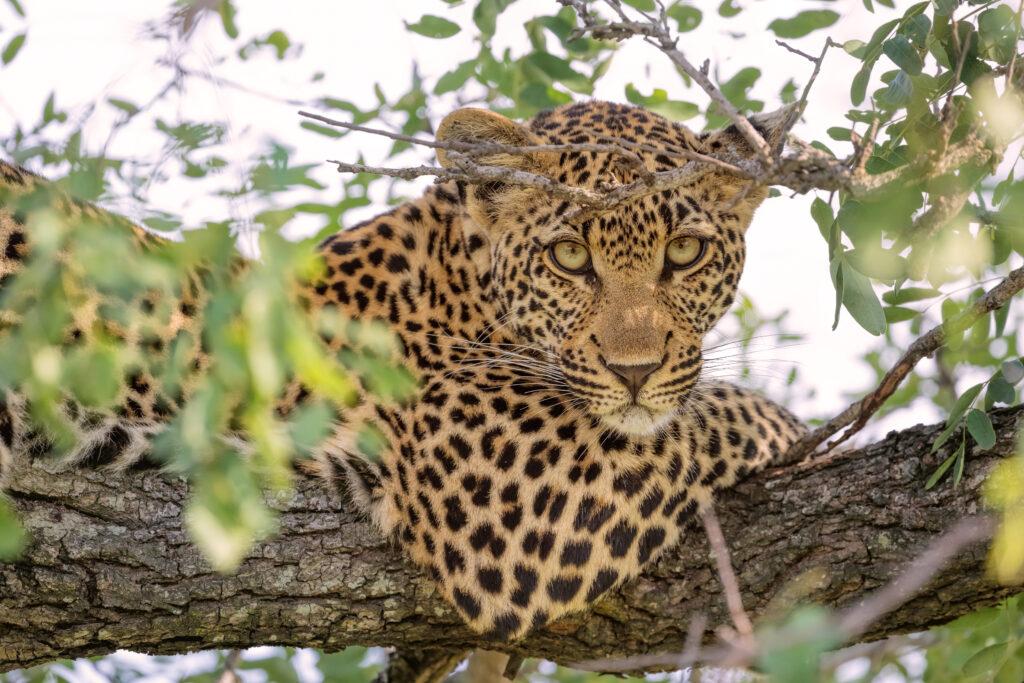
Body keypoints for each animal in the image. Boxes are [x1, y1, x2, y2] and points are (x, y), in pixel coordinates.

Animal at [0, 100, 805, 641]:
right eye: (570, 256)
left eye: (685, 252)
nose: (634, 370)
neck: (460, 278)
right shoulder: (518, 494)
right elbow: (717, 414)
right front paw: (792, 426)